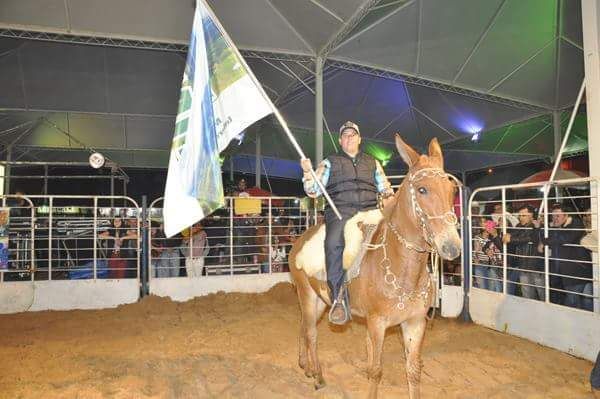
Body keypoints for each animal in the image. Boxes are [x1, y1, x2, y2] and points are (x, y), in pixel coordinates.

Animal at [288, 136, 462, 398]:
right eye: (422, 189)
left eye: (452, 190)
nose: (451, 246)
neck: (402, 268)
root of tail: (298, 242)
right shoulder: (377, 324)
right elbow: (376, 371)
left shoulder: (415, 324)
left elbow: (413, 371)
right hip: (306, 294)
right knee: (311, 333)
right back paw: (317, 376)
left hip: (320, 300)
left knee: (303, 327)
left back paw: (306, 366)